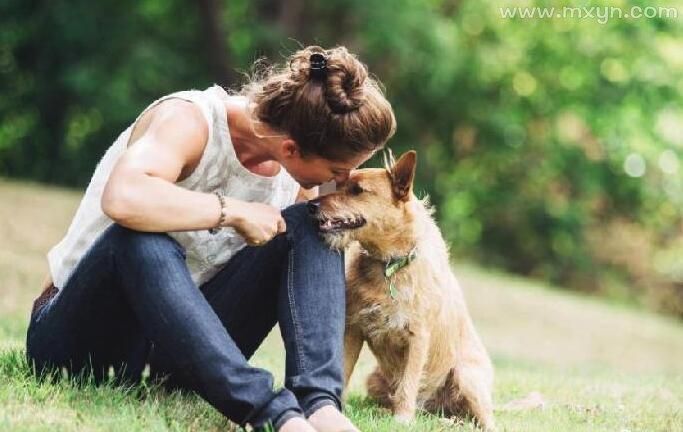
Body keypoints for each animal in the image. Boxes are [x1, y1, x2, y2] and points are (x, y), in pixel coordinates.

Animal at [310, 151, 496, 428]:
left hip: (467, 377)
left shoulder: (417, 337)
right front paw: (338, 408)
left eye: (357, 190)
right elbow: (344, 370)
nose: (311, 205)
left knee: (485, 421)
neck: (390, 266)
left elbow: (408, 383)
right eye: (339, 185)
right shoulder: (353, 330)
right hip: (374, 380)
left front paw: (402, 419)